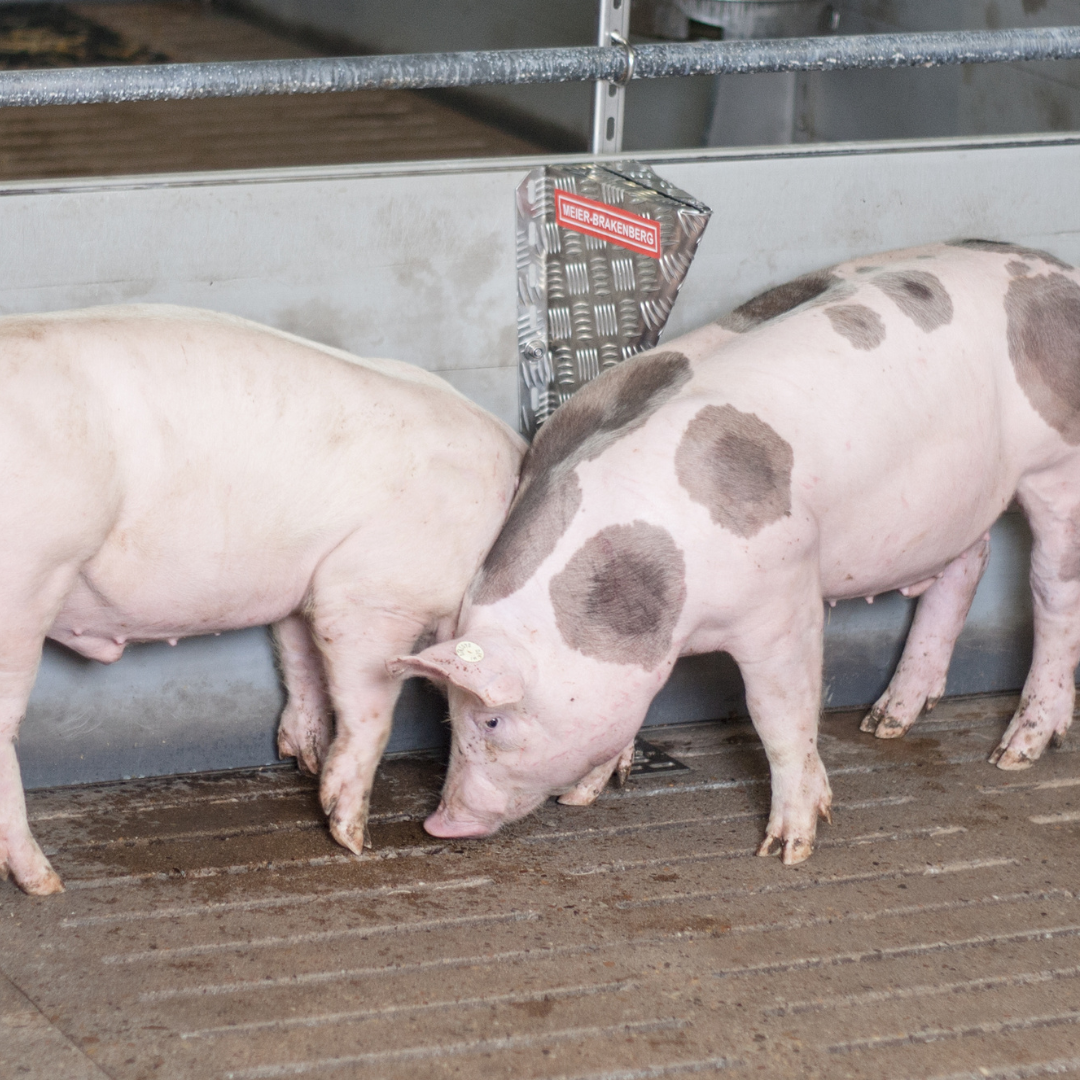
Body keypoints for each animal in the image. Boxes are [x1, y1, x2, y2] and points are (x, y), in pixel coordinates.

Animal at [0, 304, 524, 895]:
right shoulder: (373, 594)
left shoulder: (303, 590)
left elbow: (300, 660)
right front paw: (351, 838)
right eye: (498, 721)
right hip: (23, 581)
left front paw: (303, 761)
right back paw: (45, 882)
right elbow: (370, 708)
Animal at [391, 239, 1080, 865]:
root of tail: (1062, 272)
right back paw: (886, 722)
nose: (440, 823)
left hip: (1057, 466)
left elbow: (779, 714)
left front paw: (788, 848)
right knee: (970, 562)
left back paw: (1014, 754)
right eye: (448, 714)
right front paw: (584, 794)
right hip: (957, 500)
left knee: (1052, 592)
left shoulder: (783, 601)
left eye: (491, 721)